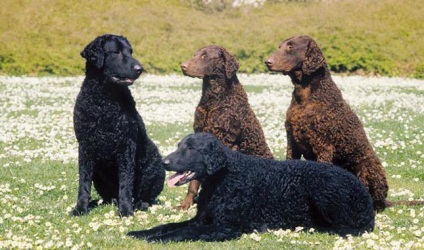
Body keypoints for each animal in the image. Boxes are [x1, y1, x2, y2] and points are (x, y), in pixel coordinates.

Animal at [72, 33, 165, 217]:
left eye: (130, 51)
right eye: (116, 52)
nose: (140, 69)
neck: (104, 101)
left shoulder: (126, 146)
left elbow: (125, 183)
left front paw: (126, 211)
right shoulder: (85, 146)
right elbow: (83, 182)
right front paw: (80, 208)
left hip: (155, 165)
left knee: (145, 197)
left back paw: (138, 204)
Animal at [126, 133, 374, 242]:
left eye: (191, 148)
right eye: (179, 146)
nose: (164, 162)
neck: (222, 179)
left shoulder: (224, 227)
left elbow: (182, 232)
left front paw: (156, 239)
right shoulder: (201, 219)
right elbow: (165, 225)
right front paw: (140, 232)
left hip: (324, 191)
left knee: (351, 228)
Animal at [177, 46, 274, 210]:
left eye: (204, 56)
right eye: (195, 55)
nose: (183, 66)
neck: (213, 100)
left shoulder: (226, 140)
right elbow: (193, 182)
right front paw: (186, 203)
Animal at [266, 35, 390, 211]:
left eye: (290, 47)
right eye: (280, 46)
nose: (267, 62)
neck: (305, 95)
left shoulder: (323, 145)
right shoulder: (292, 142)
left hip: (369, 167)